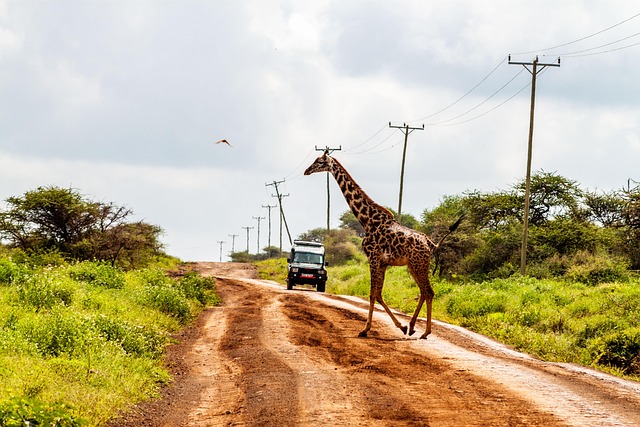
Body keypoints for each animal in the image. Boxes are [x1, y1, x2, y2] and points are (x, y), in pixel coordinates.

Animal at [304, 152, 460, 339]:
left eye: (320, 162)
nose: (306, 171)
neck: (367, 220)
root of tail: (430, 243)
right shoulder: (383, 262)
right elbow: (378, 293)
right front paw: (401, 326)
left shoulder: (373, 257)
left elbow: (372, 293)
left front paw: (365, 329)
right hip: (414, 266)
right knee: (424, 292)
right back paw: (413, 327)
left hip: (419, 264)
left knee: (428, 291)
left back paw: (424, 332)